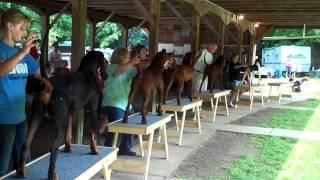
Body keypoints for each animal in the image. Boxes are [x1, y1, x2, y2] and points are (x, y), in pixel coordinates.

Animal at [16, 50, 107, 180]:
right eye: (104, 60)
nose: (106, 76)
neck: (87, 71)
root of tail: (48, 82)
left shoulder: (70, 112)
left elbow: (69, 134)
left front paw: (68, 148)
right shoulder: (93, 110)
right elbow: (93, 134)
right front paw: (94, 150)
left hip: (36, 117)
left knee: (25, 144)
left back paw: (21, 171)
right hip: (59, 125)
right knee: (53, 148)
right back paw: (52, 174)